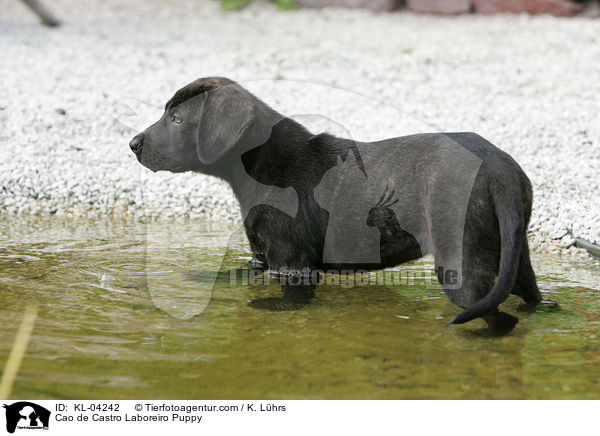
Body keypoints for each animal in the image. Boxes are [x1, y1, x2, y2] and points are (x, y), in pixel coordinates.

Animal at [131, 78, 544, 330]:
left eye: (177, 118)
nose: (132, 143)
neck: (259, 164)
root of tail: (500, 169)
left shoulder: (293, 264)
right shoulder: (262, 258)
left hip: (462, 262)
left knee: (497, 318)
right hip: (513, 253)